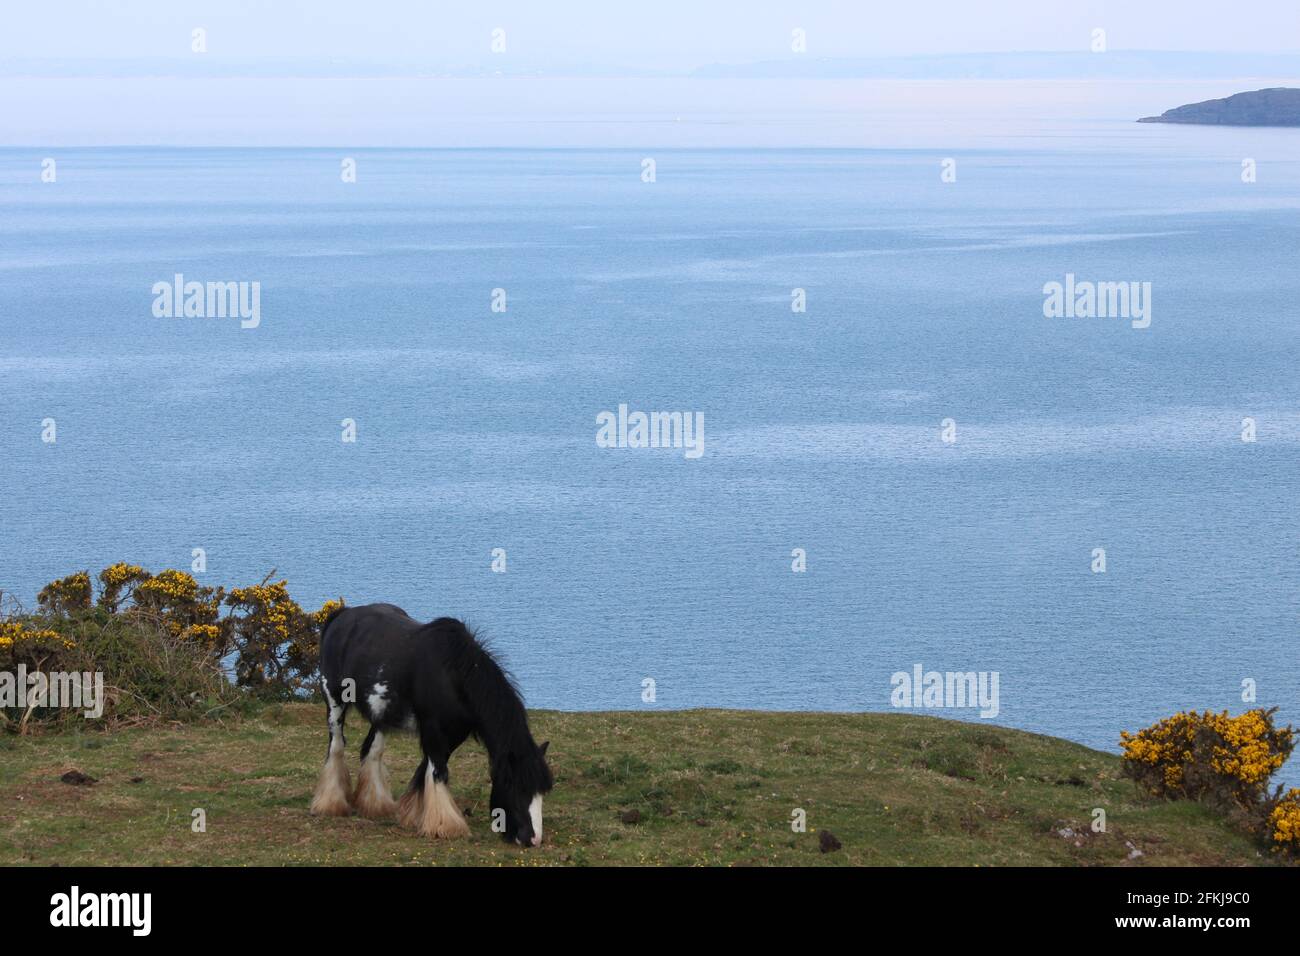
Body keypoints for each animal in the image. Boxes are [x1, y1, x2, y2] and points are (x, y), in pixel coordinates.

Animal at [309, 603, 553, 846]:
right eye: (515, 786)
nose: (533, 839)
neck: (452, 674)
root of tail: (342, 614)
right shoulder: (433, 730)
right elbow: (438, 772)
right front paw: (445, 826)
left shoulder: (453, 734)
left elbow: (425, 770)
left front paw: (414, 815)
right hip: (334, 701)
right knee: (336, 745)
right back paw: (331, 803)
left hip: (382, 714)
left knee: (371, 750)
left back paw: (374, 805)